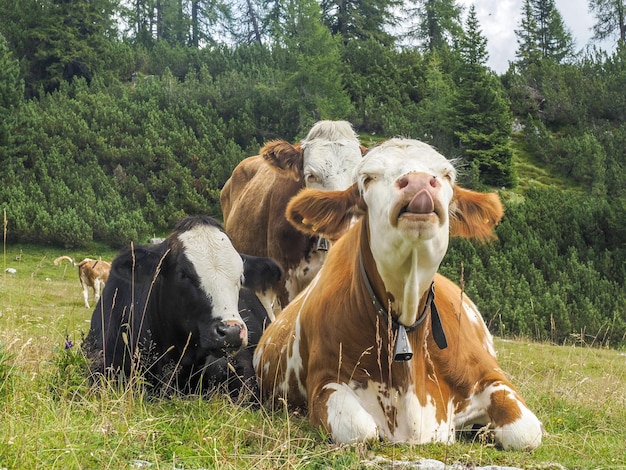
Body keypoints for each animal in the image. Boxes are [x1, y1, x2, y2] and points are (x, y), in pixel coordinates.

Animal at [254, 139, 540, 452]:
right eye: (367, 178)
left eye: (447, 175)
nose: (419, 182)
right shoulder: (326, 382)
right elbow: (359, 429)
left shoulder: (489, 377)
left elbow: (525, 431)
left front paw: (486, 430)